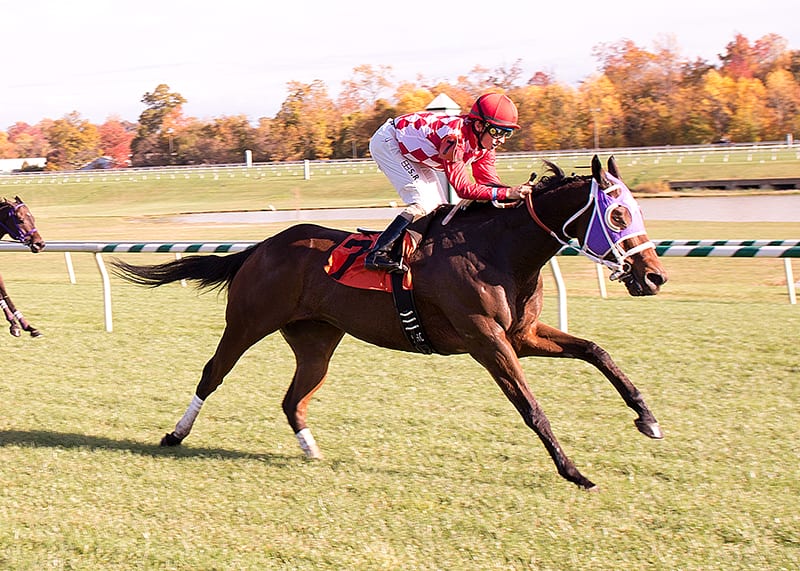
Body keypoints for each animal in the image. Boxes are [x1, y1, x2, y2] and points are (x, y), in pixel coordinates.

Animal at [0, 199, 45, 338]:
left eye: (33, 218)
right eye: (20, 220)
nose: (40, 244)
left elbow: (4, 294)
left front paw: (27, 326)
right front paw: (14, 325)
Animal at [111, 156, 664, 492]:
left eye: (635, 210)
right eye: (617, 216)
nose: (654, 276)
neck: (499, 251)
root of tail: (262, 246)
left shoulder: (521, 336)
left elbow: (596, 351)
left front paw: (647, 418)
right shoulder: (487, 340)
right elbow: (531, 408)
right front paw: (575, 473)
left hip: (317, 341)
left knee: (293, 399)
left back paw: (312, 451)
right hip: (248, 323)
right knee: (212, 374)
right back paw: (175, 434)